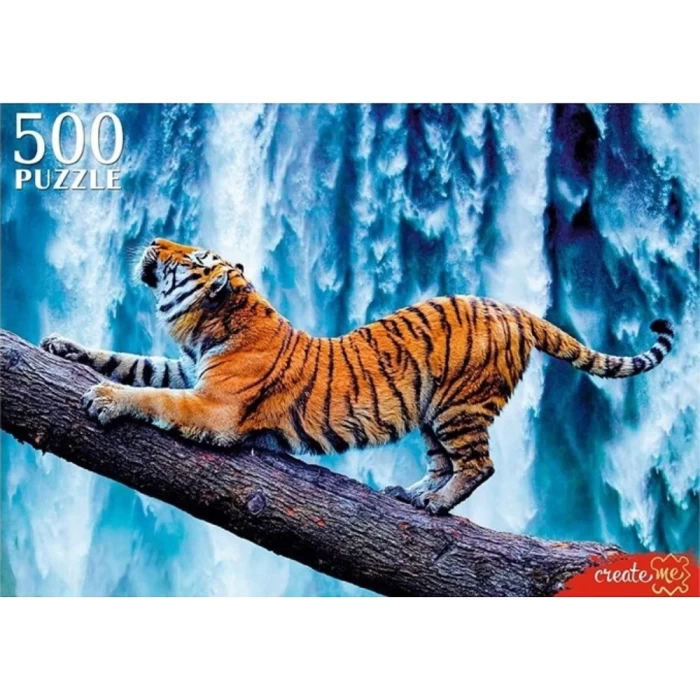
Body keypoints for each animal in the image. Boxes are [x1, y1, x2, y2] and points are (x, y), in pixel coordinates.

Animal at [40, 237, 675, 515]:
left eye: (189, 258)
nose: (154, 239)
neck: (213, 325)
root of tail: (514, 308)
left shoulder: (215, 407)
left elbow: (149, 393)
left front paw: (104, 399)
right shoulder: (189, 369)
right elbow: (132, 361)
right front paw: (63, 345)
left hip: (460, 406)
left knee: (480, 465)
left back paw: (436, 506)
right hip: (432, 414)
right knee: (444, 463)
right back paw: (413, 494)